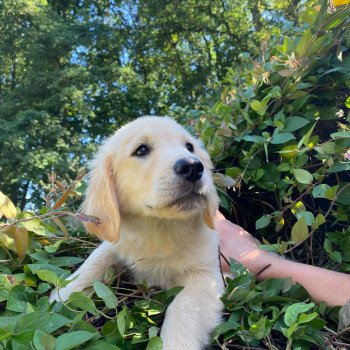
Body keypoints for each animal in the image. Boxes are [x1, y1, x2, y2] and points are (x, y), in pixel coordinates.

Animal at [50, 116, 224, 348]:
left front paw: (175, 343)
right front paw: (61, 295)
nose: (193, 166)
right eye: (141, 150)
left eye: (190, 147)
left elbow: (184, 305)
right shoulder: (117, 242)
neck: (159, 228)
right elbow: (95, 261)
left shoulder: (207, 274)